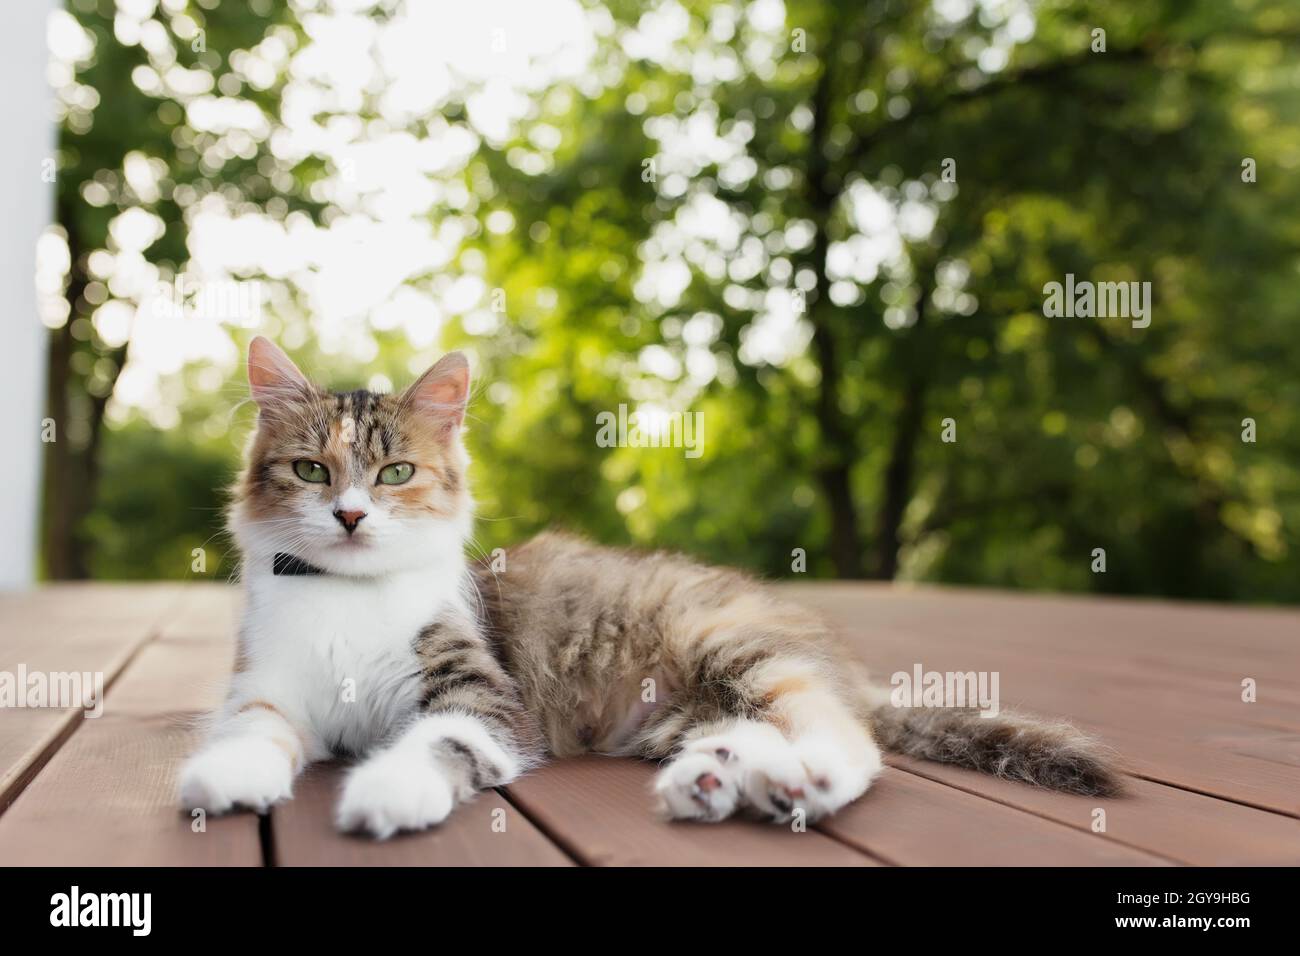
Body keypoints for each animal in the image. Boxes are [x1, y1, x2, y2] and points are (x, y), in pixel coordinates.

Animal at [178, 338, 1123, 837]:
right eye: (311, 469)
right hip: (686, 710)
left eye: (396, 473)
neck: (343, 595)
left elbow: (436, 742)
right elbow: (255, 732)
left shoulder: (478, 693)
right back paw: (723, 781)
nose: (348, 515)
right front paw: (225, 776)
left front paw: (388, 790)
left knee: (846, 740)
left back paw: (800, 779)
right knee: (755, 734)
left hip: (734, 647)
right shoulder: (269, 686)